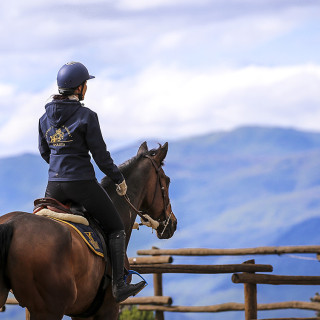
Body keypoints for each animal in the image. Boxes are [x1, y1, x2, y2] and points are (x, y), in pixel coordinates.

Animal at [0, 142, 178, 320]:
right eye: (167, 181)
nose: (173, 223)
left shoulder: (80, 313)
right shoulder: (109, 309)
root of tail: (11, 223)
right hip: (49, 310)